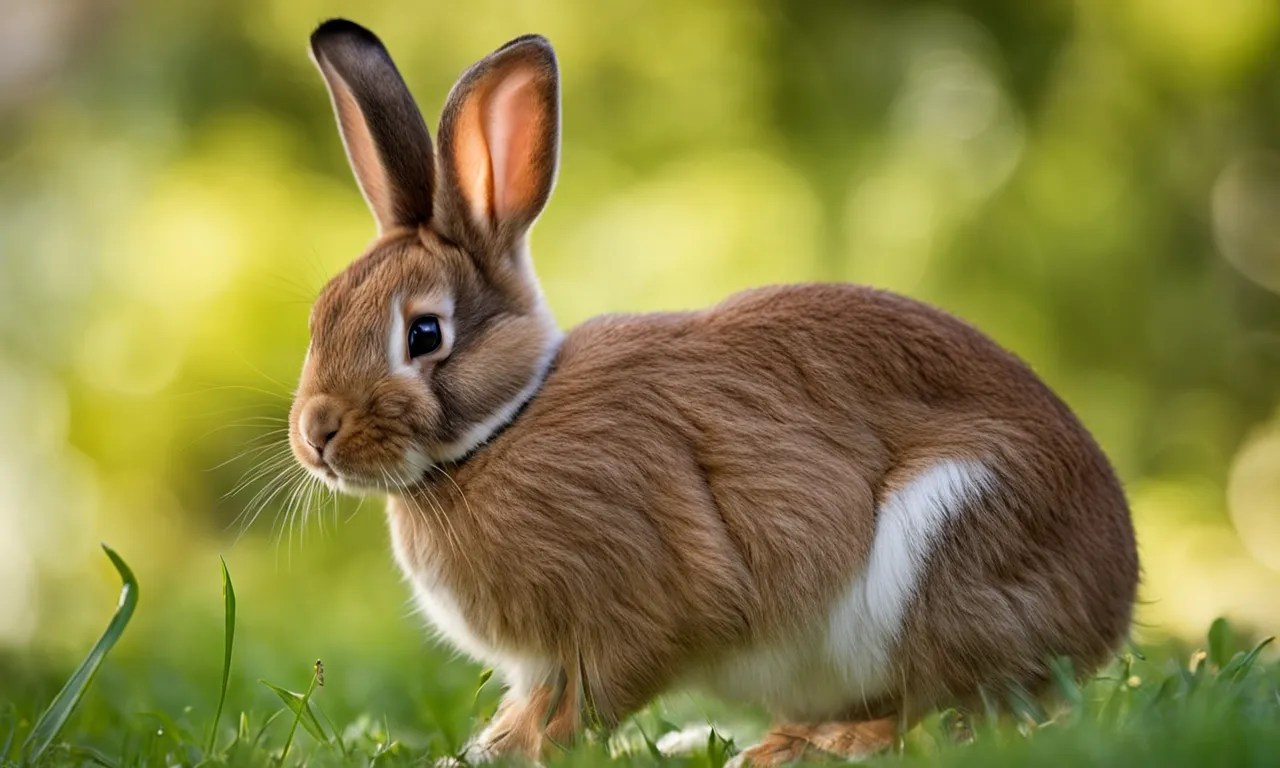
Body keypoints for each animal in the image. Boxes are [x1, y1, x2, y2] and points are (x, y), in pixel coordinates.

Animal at [288, 18, 1139, 766]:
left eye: (424, 335)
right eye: (322, 309)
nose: (316, 435)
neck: (504, 427)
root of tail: (1112, 600)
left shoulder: (634, 607)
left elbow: (586, 704)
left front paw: (532, 753)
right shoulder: (545, 665)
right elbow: (529, 709)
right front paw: (479, 752)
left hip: (948, 547)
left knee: (950, 711)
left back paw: (815, 748)